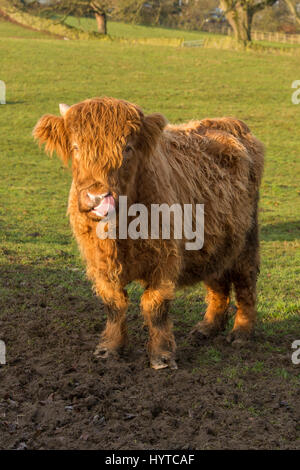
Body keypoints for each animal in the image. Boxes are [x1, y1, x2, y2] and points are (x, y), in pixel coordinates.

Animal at [34, 97, 264, 370]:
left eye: (127, 148)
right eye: (76, 146)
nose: (97, 197)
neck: (120, 232)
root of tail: (231, 124)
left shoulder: (164, 260)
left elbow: (155, 306)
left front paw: (161, 355)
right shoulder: (100, 264)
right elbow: (114, 304)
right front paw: (110, 348)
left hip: (247, 239)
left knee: (245, 282)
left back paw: (241, 333)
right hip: (213, 240)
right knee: (217, 281)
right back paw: (207, 328)